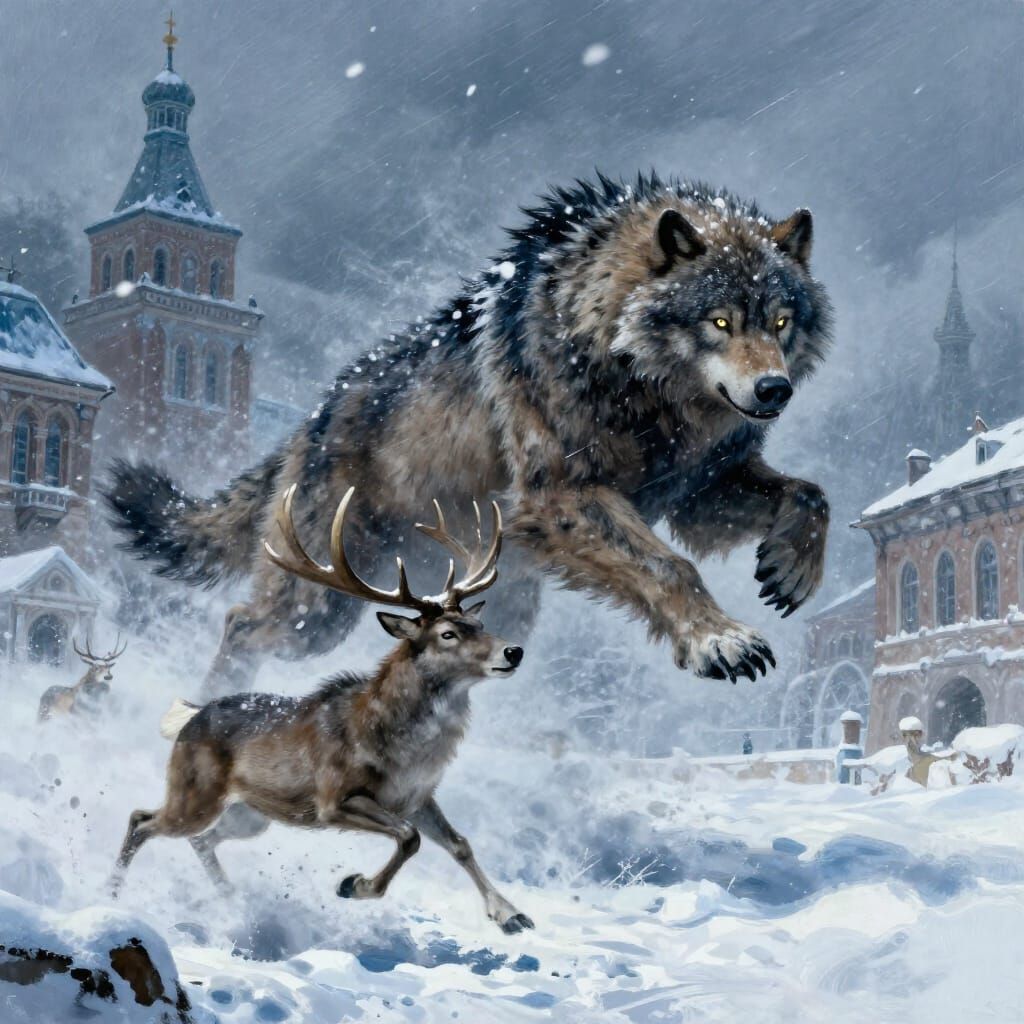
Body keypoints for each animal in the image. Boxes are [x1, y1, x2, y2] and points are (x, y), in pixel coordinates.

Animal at [106, 172, 832, 697]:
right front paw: (721, 640)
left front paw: (791, 569)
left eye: (780, 320)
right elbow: (670, 566)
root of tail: (310, 421)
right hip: (318, 608)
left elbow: (811, 495)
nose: (774, 389)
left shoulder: (697, 491)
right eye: (719, 321)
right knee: (242, 625)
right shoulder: (561, 496)